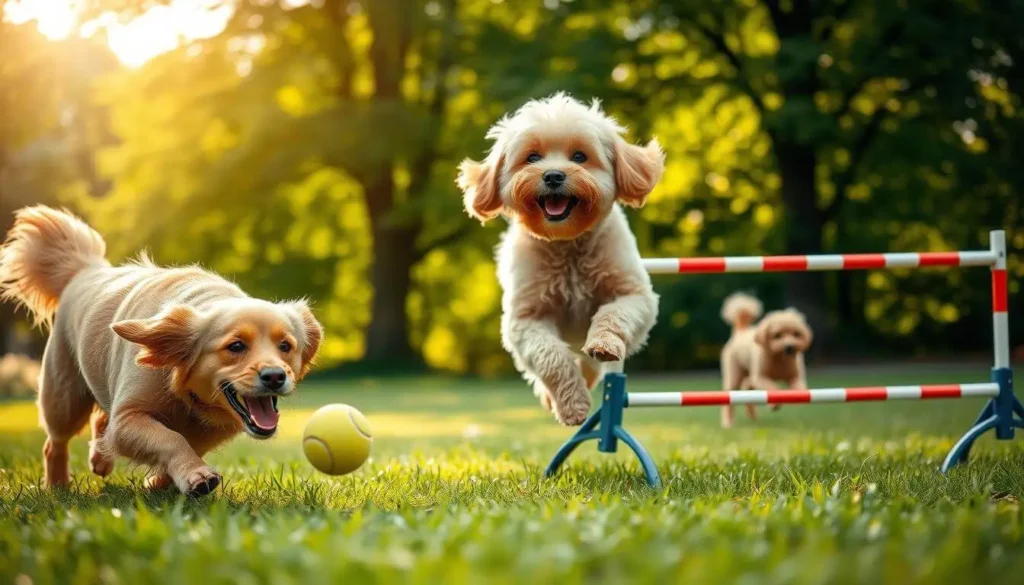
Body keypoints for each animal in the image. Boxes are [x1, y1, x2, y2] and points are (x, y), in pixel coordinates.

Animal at [0, 207, 321, 495]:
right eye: (236, 346)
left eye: (286, 346)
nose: (275, 376)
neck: (187, 393)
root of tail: (87, 269)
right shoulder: (127, 418)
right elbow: (171, 439)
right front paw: (195, 475)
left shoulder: (210, 429)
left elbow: (187, 443)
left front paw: (162, 480)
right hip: (64, 398)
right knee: (55, 442)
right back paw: (57, 486)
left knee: (100, 420)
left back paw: (100, 460)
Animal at [456, 93, 663, 428]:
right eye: (532, 157)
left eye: (580, 156)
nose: (553, 175)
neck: (567, 245)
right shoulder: (525, 320)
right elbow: (551, 357)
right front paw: (572, 405)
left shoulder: (635, 296)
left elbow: (613, 316)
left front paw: (603, 345)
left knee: (589, 364)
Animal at [720, 295, 815, 428]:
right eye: (777, 335)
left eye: (796, 334)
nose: (789, 347)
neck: (779, 358)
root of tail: (741, 330)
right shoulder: (761, 377)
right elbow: (774, 388)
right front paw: (774, 405)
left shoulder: (795, 376)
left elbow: (799, 387)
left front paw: (798, 395)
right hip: (735, 375)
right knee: (730, 400)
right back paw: (728, 423)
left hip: (750, 376)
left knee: (747, 387)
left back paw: (752, 414)